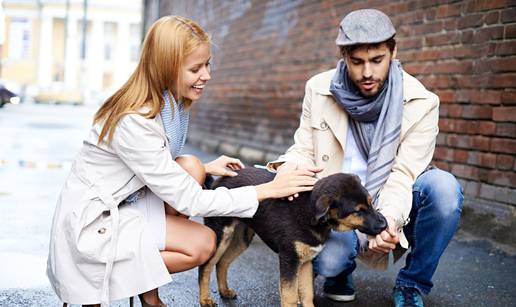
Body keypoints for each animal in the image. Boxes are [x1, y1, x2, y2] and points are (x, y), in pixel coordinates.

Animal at [198, 168, 388, 307]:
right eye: (358, 211)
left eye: (371, 203)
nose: (385, 225)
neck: (310, 212)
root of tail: (218, 181)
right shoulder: (290, 259)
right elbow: (289, 295)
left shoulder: (305, 261)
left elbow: (307, 294)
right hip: (220, 234)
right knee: (206, 266)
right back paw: (205, 299)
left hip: (242, 237)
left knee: (222, 263)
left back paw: (224, 291)